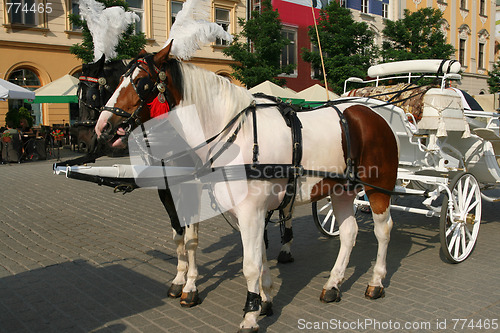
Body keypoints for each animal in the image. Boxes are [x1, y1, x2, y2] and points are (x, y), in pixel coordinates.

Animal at [94, 42, 398, 330]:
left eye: (141, 82)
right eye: (117, 80)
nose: (103, 126)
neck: (233, 135)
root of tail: (371, 114)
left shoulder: (251, 212)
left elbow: (249, 265)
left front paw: (250, 314)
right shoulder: (247, 213)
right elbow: (258, 257)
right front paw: (265, 299)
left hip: (378, 188)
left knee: (383, 231)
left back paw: (376, 282)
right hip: (342, 190)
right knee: (348, 233)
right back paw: (333, 284)